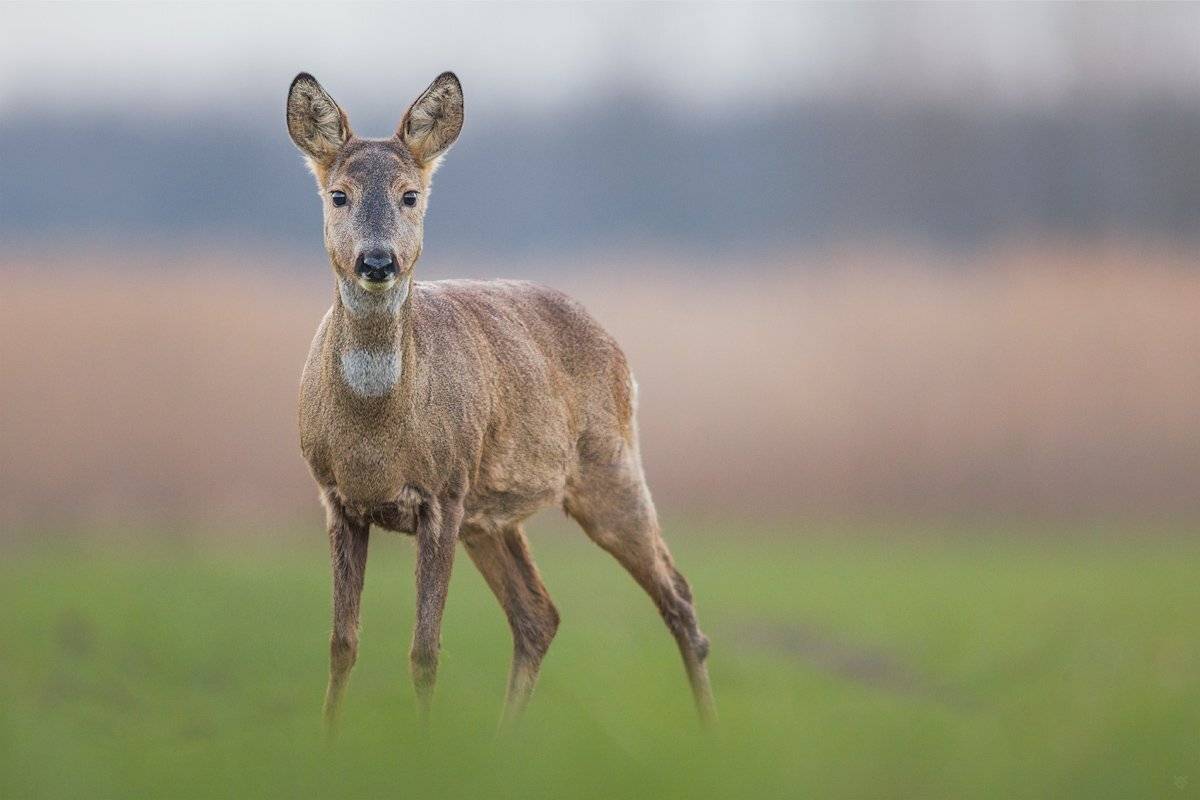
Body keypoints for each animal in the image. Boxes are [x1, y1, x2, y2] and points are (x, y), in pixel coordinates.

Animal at [286, 70, 714, 731]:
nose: (377, 261)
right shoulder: (337, 498)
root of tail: (617, 346)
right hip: (491, 513)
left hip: (608, 465)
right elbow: (342, 643)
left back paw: (710, 731)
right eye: (338, 195)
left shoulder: (442, 493)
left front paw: (424, 740)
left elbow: (424, 649)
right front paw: (329, 740)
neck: (376, 435)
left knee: (678, 595)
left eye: (410, 195)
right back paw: (504, 739)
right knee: (538, 614)